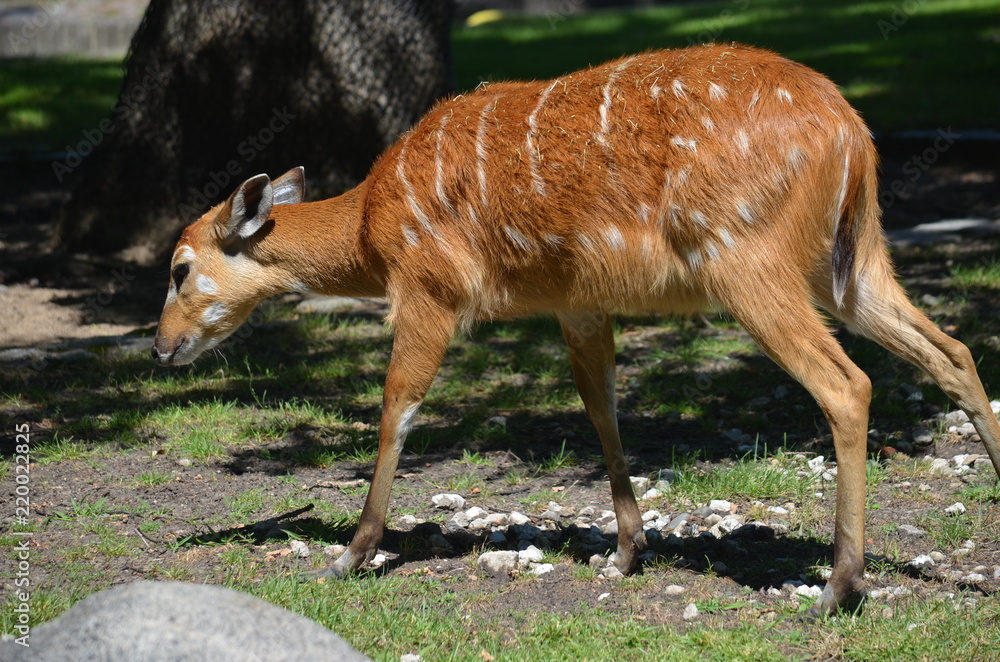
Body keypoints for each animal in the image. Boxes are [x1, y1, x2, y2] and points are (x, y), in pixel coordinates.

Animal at [152, 45, 1000, 616]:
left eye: (181, 268)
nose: (162, 347)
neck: (371, 231)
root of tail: (854, 135)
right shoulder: (576, 302)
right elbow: (602, 411)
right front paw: (624, 554)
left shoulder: (429, 288)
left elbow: (397, 408)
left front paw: (351, 555)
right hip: (848, 260)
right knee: (952, 350)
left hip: (748, 258)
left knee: (847, 383)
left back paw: (839, 584)